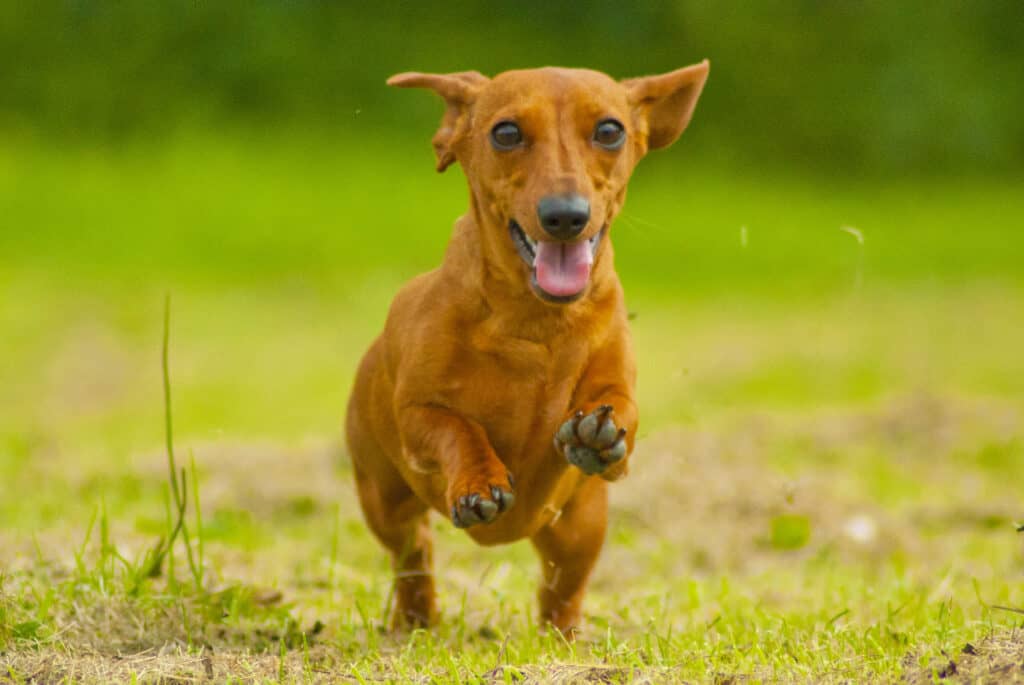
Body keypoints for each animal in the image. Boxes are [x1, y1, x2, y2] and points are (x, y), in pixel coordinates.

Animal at [348, 61, 708, 634]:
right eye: (506, 133)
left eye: (610, 130)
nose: (565, 216)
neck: (537, 325)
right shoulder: (417, 415)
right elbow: (457, 429)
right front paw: (479, 481)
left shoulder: (614, 399)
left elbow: (620, 410)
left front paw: (598, 434)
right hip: (385, 503)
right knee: (414, 557)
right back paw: (417, 618)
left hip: (581, 529)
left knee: (562, 589)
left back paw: (564, 637)